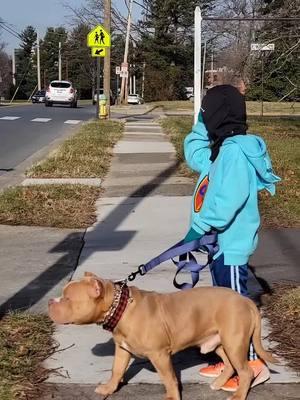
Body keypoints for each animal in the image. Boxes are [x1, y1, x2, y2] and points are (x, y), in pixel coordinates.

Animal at [49, 274, 276, 400]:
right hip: (219, 342)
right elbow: (116, 371)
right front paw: (109, 388)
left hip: (234, 341)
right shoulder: (122, 349)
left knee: (245, 371)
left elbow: (169, 379)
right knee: (229, 364)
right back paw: (218, 383)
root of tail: (245, 301)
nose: (51, 301)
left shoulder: (159, 355)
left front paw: (172, 397)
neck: (121, 307)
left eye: (67, 298)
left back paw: (238, 395)